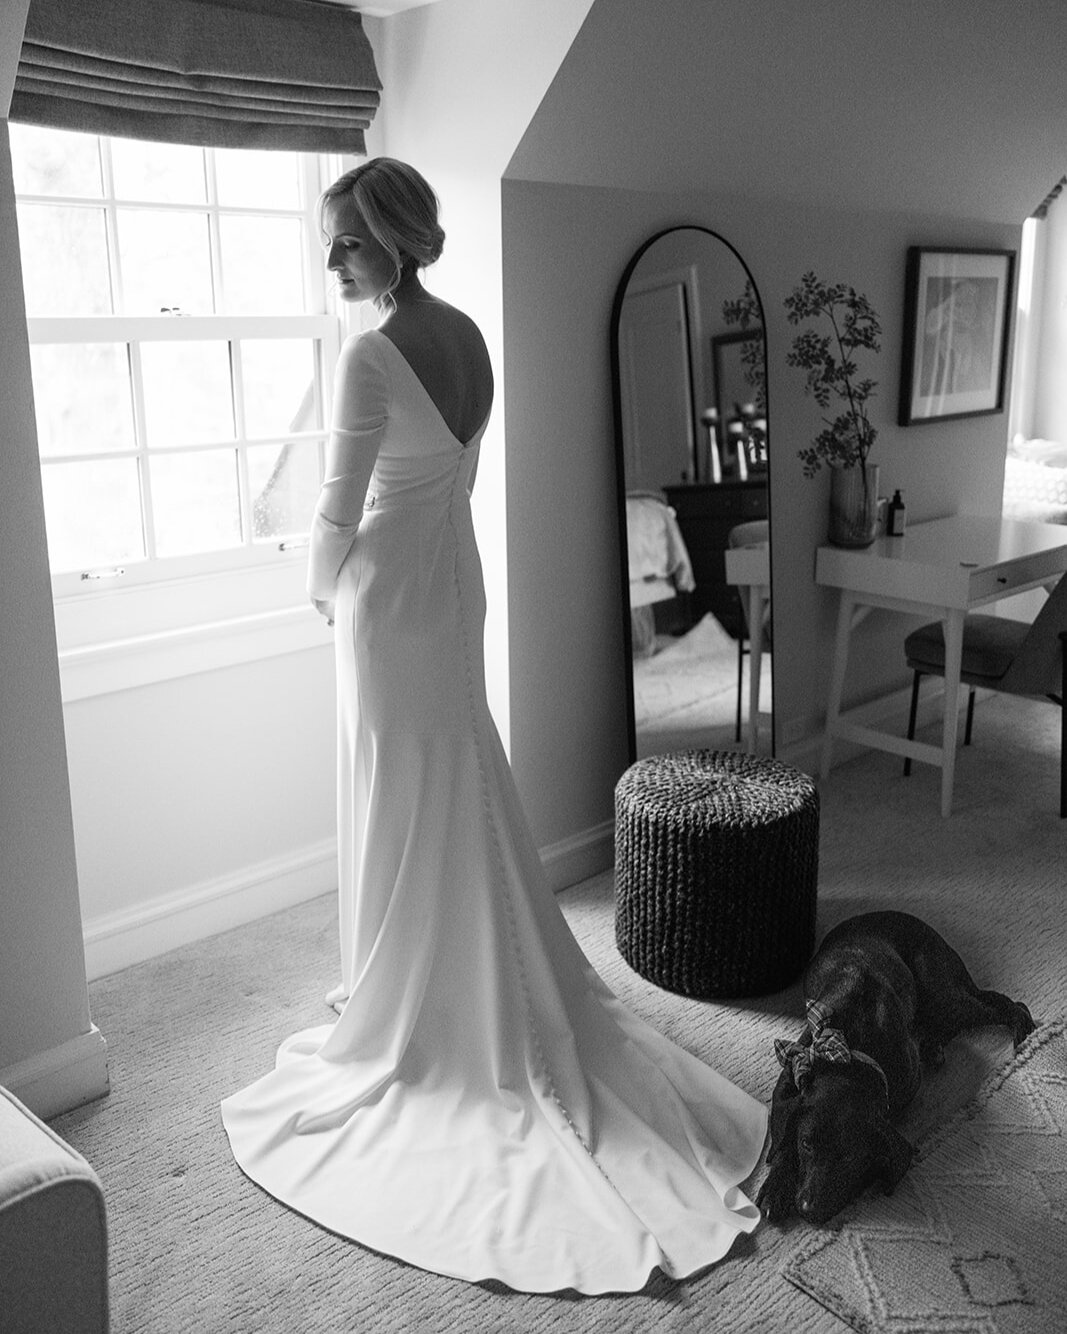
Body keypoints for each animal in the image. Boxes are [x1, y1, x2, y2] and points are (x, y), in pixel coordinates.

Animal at [757, 912, 1034, 1221]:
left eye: (849, 1156)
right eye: (806, 1144)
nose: (808, 1210)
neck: (848, 1055)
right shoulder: (791, 1076)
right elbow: (783, 1136)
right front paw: (776, 1186)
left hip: (944, 996)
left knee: (1007, 1005)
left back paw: (1020, 1027)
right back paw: (933, 1045)